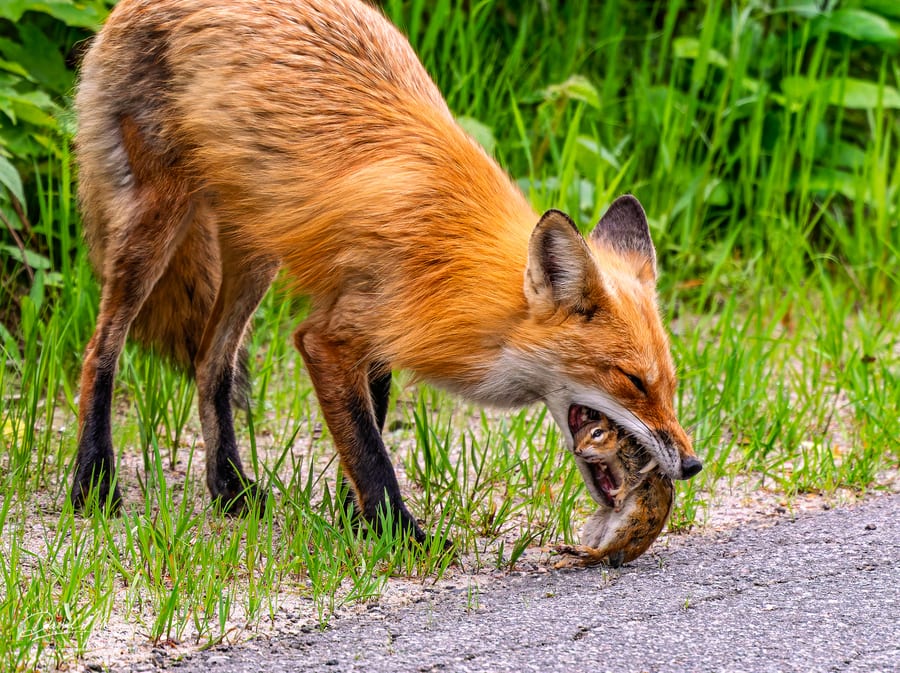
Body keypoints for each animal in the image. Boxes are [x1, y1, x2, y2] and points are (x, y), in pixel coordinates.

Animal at [70, 0, 701, 541]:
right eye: (633, 381)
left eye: (669, 385)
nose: (693, 464)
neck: (447, 257)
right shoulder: (329, 337)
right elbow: (372, 452)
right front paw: (402, 537)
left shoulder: (370, 331)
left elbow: (365, 426)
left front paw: (357, 522)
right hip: (157, 222)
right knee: (102, 348)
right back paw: (93, 481)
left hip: (258, 250)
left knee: (210, 362)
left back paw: (228, 487)